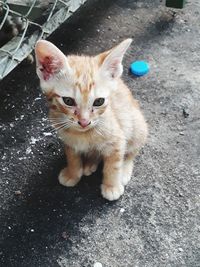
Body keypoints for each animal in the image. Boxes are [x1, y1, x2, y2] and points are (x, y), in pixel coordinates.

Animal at [34, 39, 148, 201]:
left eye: (99, 101)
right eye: (68, 101)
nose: (84, 122)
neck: (82, 134)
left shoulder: (117, 141)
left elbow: (113, 165)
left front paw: (112, 186)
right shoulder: (68, 140)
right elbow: (72, 157)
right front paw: (73, 174)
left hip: (137, 126)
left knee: (132, 152)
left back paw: (124, 169)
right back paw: (90, 163)